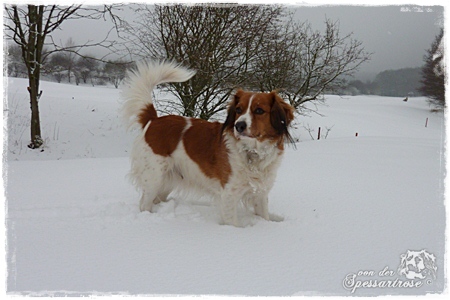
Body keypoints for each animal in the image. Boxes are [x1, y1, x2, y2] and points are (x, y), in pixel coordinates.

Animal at [120, 60, 296, 225]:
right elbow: (234, 225)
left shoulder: (260, 193)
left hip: (168, 179)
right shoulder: (229, 194)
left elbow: (264, 217)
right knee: (144, 204)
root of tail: (154, 119)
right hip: (154, 177)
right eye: (238, 109)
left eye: (259, 110)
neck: (253, 151)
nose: (239, 126)